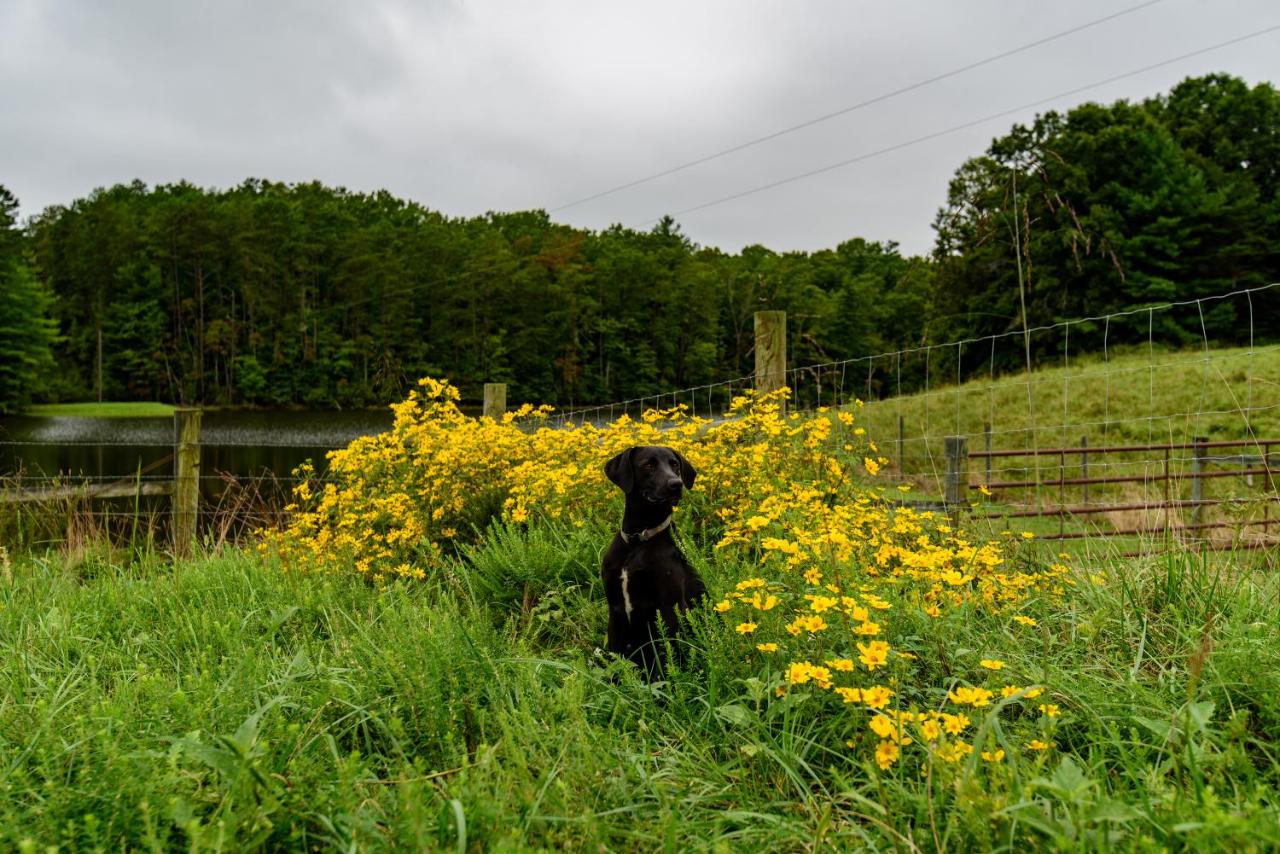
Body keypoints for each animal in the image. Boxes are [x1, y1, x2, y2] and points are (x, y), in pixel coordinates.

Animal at [601, 445, 711, 676]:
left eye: (675, 465)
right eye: (648, 465)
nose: (676, 484)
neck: (638, 541)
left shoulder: (670, 606)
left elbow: (669, 653)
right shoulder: (615, 608)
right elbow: (616, 654)